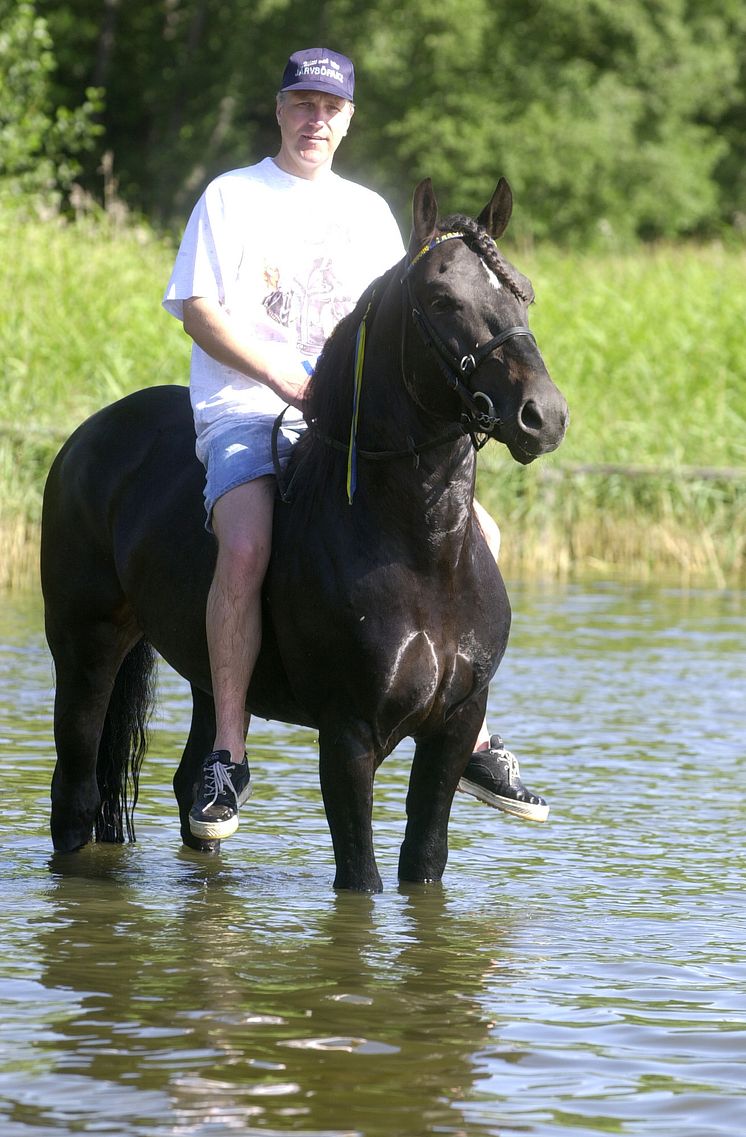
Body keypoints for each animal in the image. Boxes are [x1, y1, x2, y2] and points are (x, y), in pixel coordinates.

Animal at [40, 177, 566, 891]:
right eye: (441, 298)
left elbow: (424, 860)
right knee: (75, 794)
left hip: (202, 675)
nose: (544, 416)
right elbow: (361, 877)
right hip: (86, 647)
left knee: (192, 789)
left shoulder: (453, 731)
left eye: (522, 293)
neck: (420, 552)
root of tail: (89, 434)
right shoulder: (347, 737)